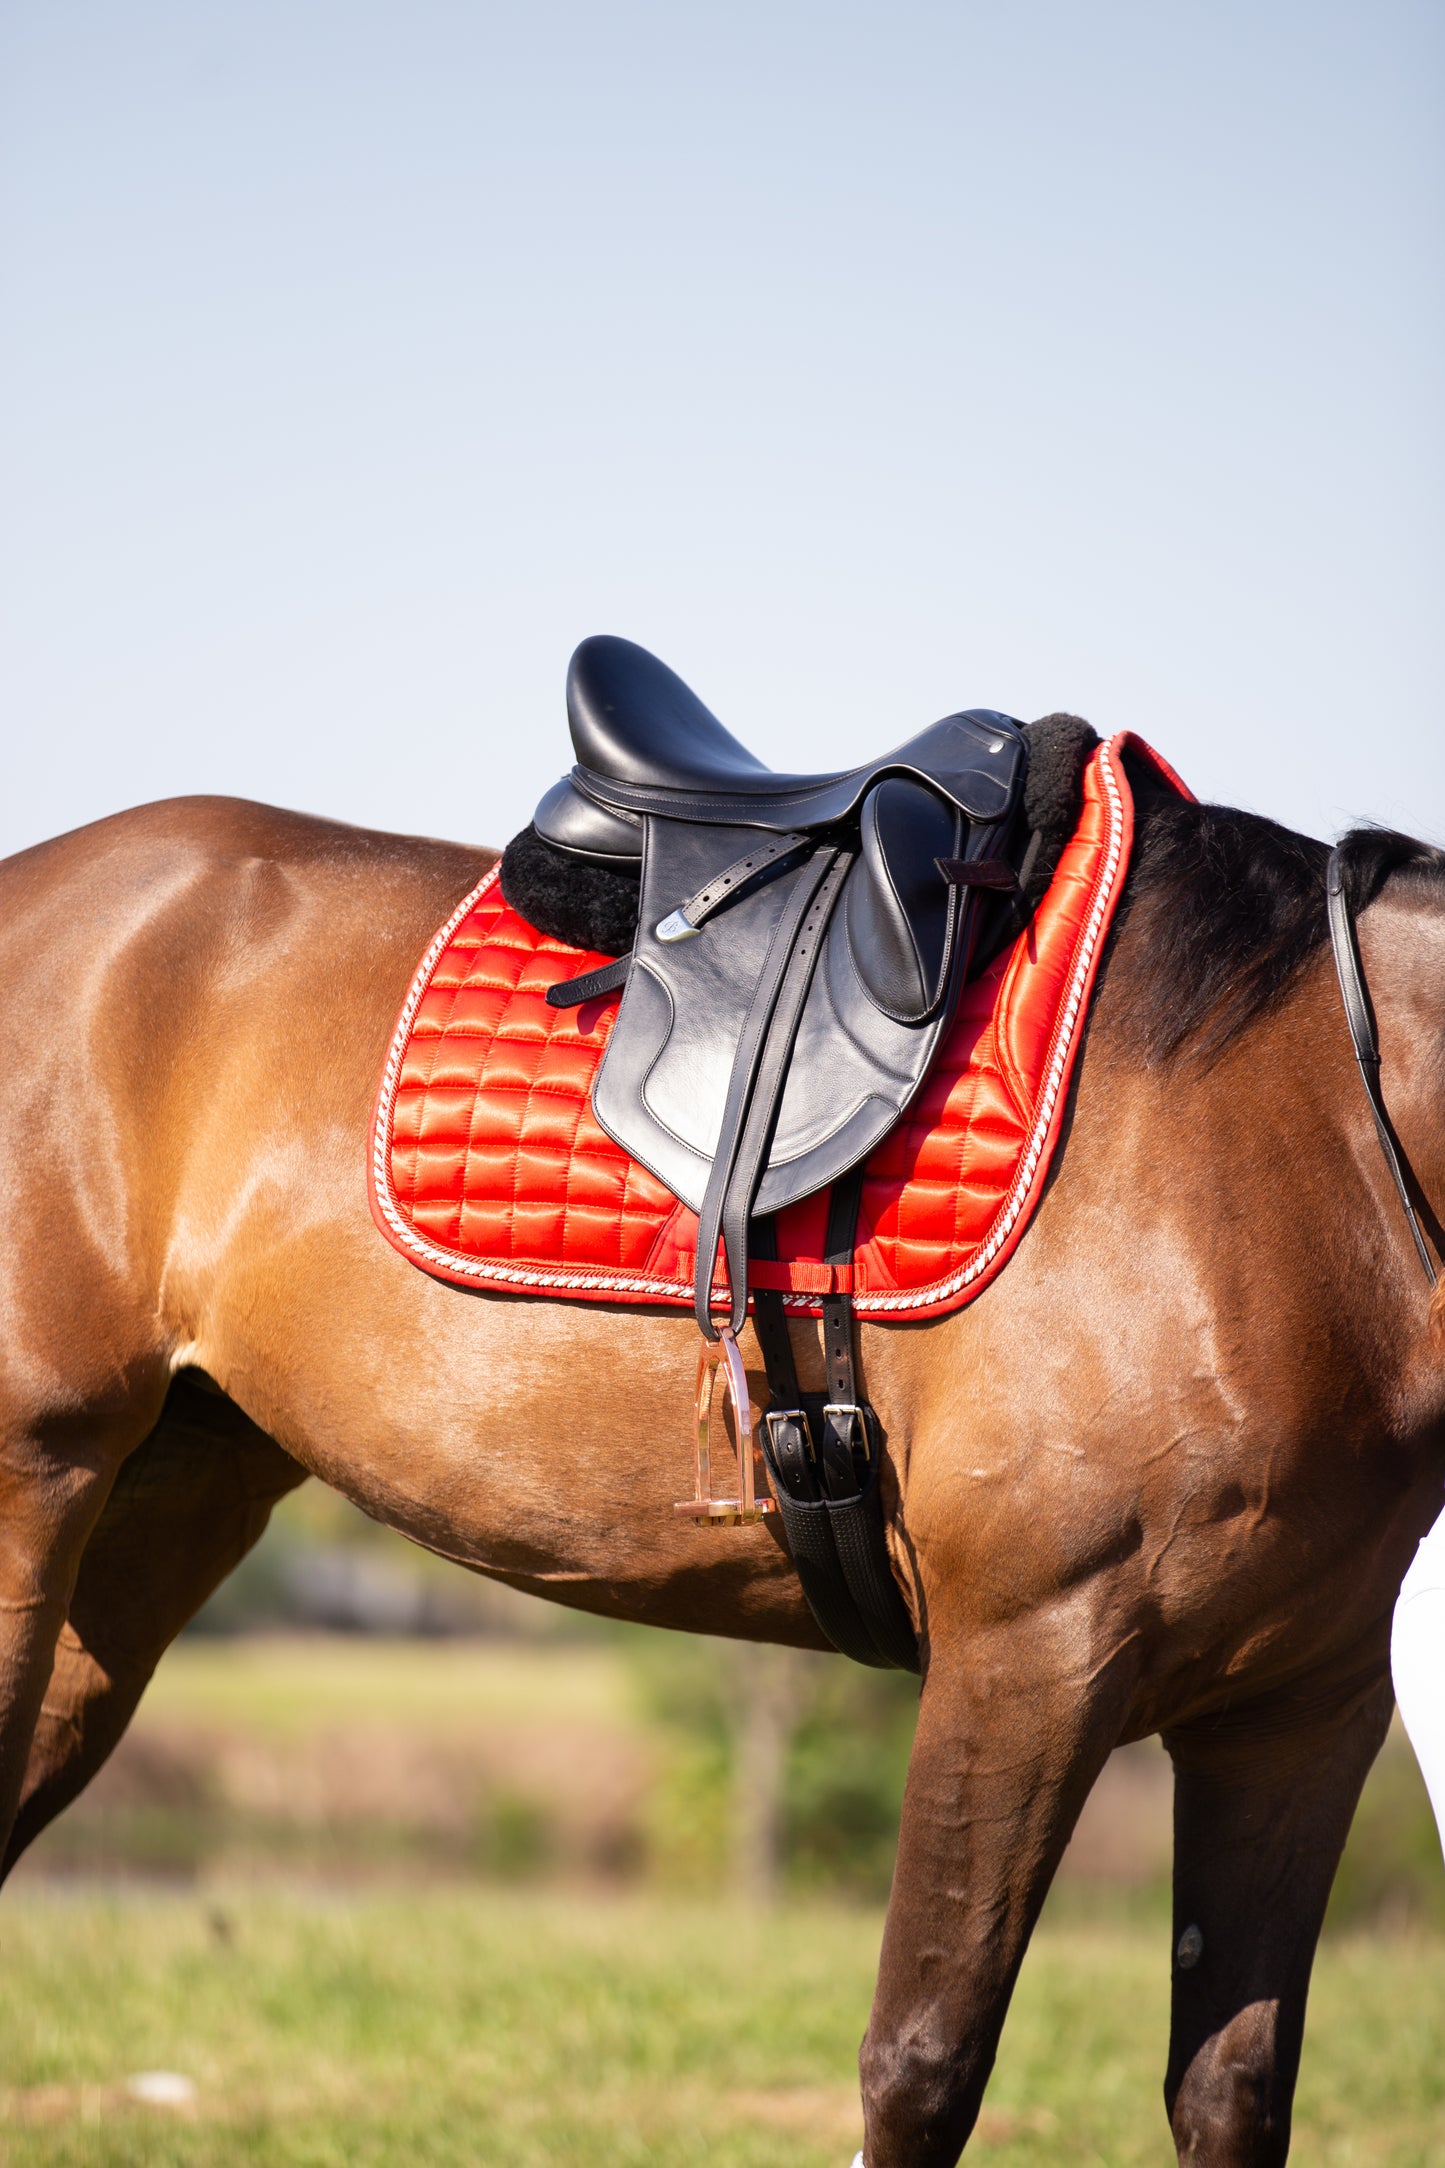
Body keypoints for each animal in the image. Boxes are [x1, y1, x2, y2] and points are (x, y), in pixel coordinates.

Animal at [0, 744, 1441, 2168]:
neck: (1306, 1138)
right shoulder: (1030, 1653)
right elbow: (919, 2067)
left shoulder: (1297, 1718)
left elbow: (1230, 2088)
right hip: (39, 1483)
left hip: (163, 1506)